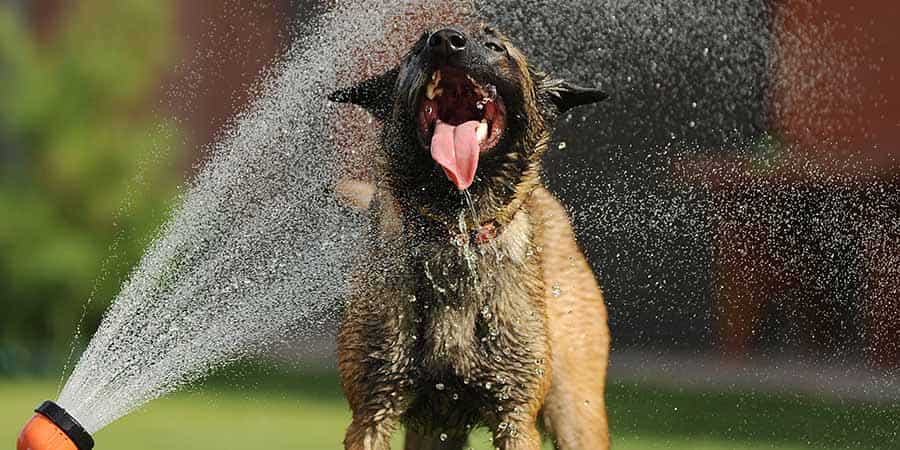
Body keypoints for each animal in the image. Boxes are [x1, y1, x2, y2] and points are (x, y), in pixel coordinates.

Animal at [326, 25, 608, 450]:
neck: (454, 232)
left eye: (495, 46)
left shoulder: (515, 417)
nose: (444, 39)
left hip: (574, 410)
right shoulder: (373, 411)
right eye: (418, 46)